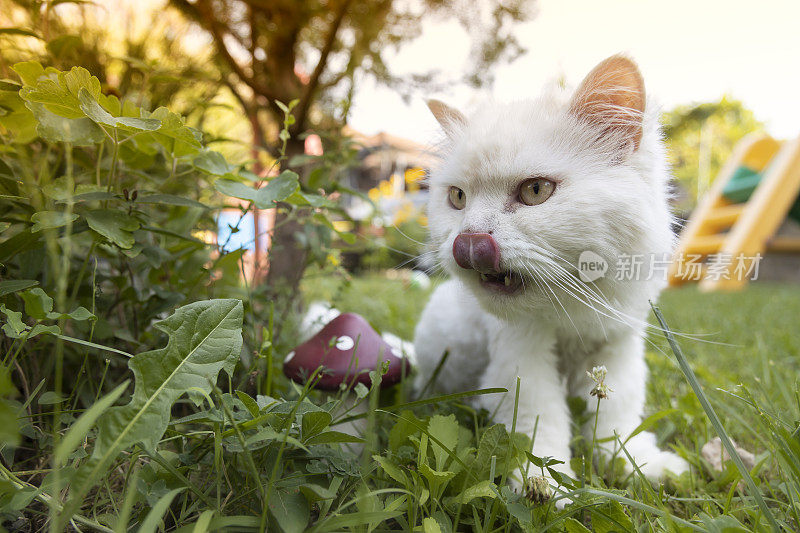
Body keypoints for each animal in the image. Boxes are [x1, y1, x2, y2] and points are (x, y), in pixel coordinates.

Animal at [412, 56, 688, 488]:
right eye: (457, 198)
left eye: (536, 191)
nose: (468, 243)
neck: (574, 309)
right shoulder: (522, 356)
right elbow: (538, 424)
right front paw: (546, 486)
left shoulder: (619, 347)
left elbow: (618, 419)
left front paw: (636, 466)